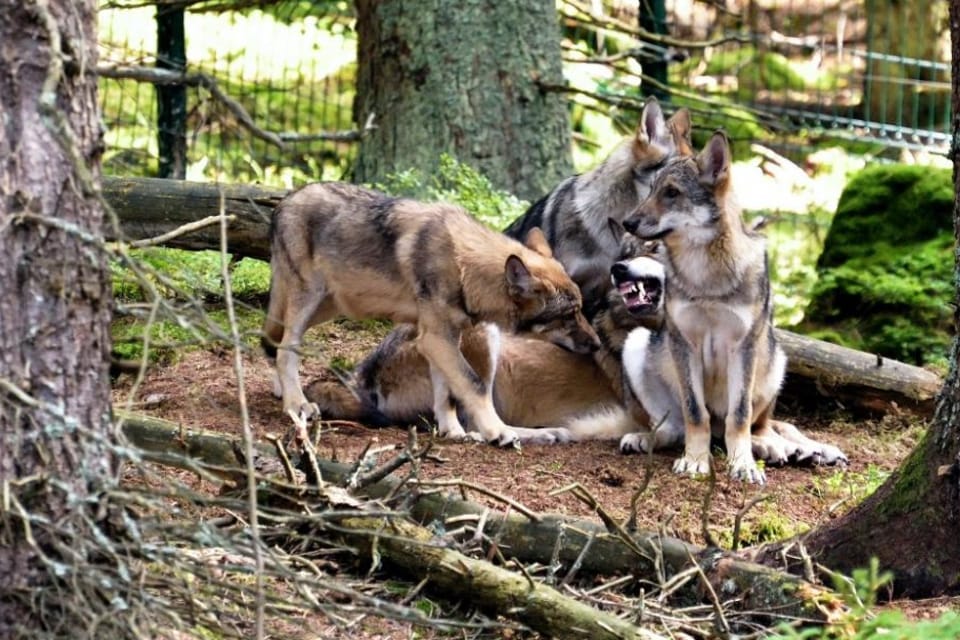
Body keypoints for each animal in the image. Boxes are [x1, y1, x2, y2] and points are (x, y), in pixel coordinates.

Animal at [260, 182, 599, 446]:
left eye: (579, 310)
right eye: (568, 316)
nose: (597, 344)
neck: (463, 266)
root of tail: (287, 200)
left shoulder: (440, 340)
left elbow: (447, 395)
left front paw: (453, 432)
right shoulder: (437, 338)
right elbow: (473, 385)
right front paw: (497, 433)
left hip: (326, 307)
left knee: (274, 339)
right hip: (309, 301)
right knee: (287, 347)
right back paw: (296, 404)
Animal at [619, 130, 798, 483]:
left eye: (672, 192)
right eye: (652, 190)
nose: (627, 222)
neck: (706, 280)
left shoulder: (743, 346)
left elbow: (739, 416)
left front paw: (742, 464)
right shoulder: (684, 343)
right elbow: (695, 413)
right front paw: (695, 461)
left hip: (775, 362)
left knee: (759, 425)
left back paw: (768, 446)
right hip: (636, 344)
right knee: (672, 428)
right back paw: (643, 439)